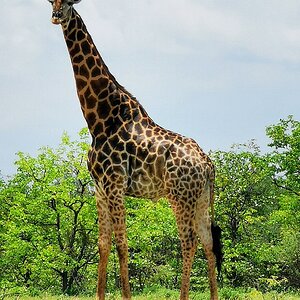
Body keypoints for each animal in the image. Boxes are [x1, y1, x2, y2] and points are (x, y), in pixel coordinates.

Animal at [46, 1, 220, 298]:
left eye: (68, 3)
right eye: (52, 2)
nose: (56, 16)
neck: (99, 119)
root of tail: (207, 164)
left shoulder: (115, 184)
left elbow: (122, 244)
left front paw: (125, 294)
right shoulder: (99, 187)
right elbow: (103, 244)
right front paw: (100, 294)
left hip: (180, 195)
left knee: (189, 242)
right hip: (201, 197)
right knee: (208, 242)